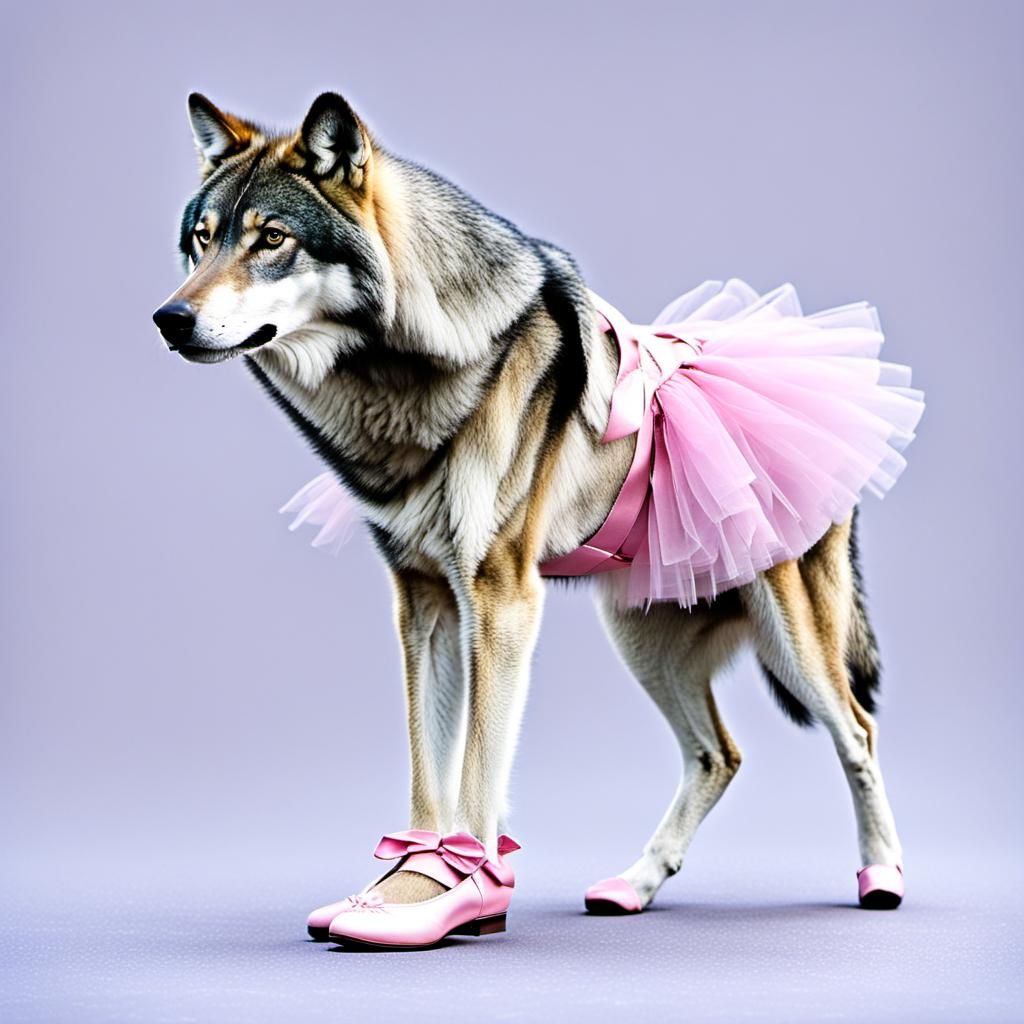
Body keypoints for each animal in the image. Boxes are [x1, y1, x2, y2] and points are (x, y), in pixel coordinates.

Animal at [153, 92, 906, 943]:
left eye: (272, 239)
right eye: (204, 240)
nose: (169, 317)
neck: (411, 374)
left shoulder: (499, 599)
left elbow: (479, 768)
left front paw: (458, 893)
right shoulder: (425, 604)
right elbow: (429, 771)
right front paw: (403, 884)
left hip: (791, 639)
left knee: (856, 730)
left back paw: (882, 876)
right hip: (643, 640)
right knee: (720, 754)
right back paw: (634, 885)